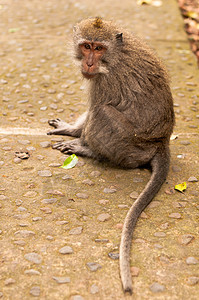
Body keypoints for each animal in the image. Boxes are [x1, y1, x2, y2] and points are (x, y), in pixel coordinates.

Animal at [46, 17, 174, 294]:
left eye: (99, 48)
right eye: (86, 46)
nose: (89, 63)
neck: (114, 56)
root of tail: (161, 143)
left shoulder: (104, 82)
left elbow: (95, 108)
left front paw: (76, 134)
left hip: (128, 147)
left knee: (102, 112)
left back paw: (89, 150)